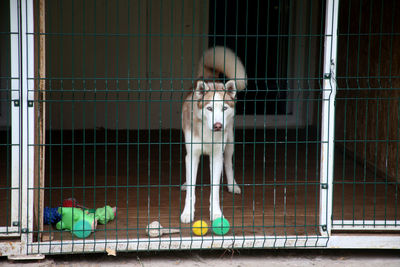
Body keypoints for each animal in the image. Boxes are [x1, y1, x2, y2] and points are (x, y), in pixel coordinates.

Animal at [180, 46, 247, 224]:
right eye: (209, 108)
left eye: (224, 108)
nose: (218, 126)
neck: (207, 132)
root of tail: (210, 77)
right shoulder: (192, 154)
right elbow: (191, 187)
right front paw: (187, 212)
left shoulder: (216, 155)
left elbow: (215, 189)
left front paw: (216, 213)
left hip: (229, 141)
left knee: (228, 163)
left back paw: (232, 185)